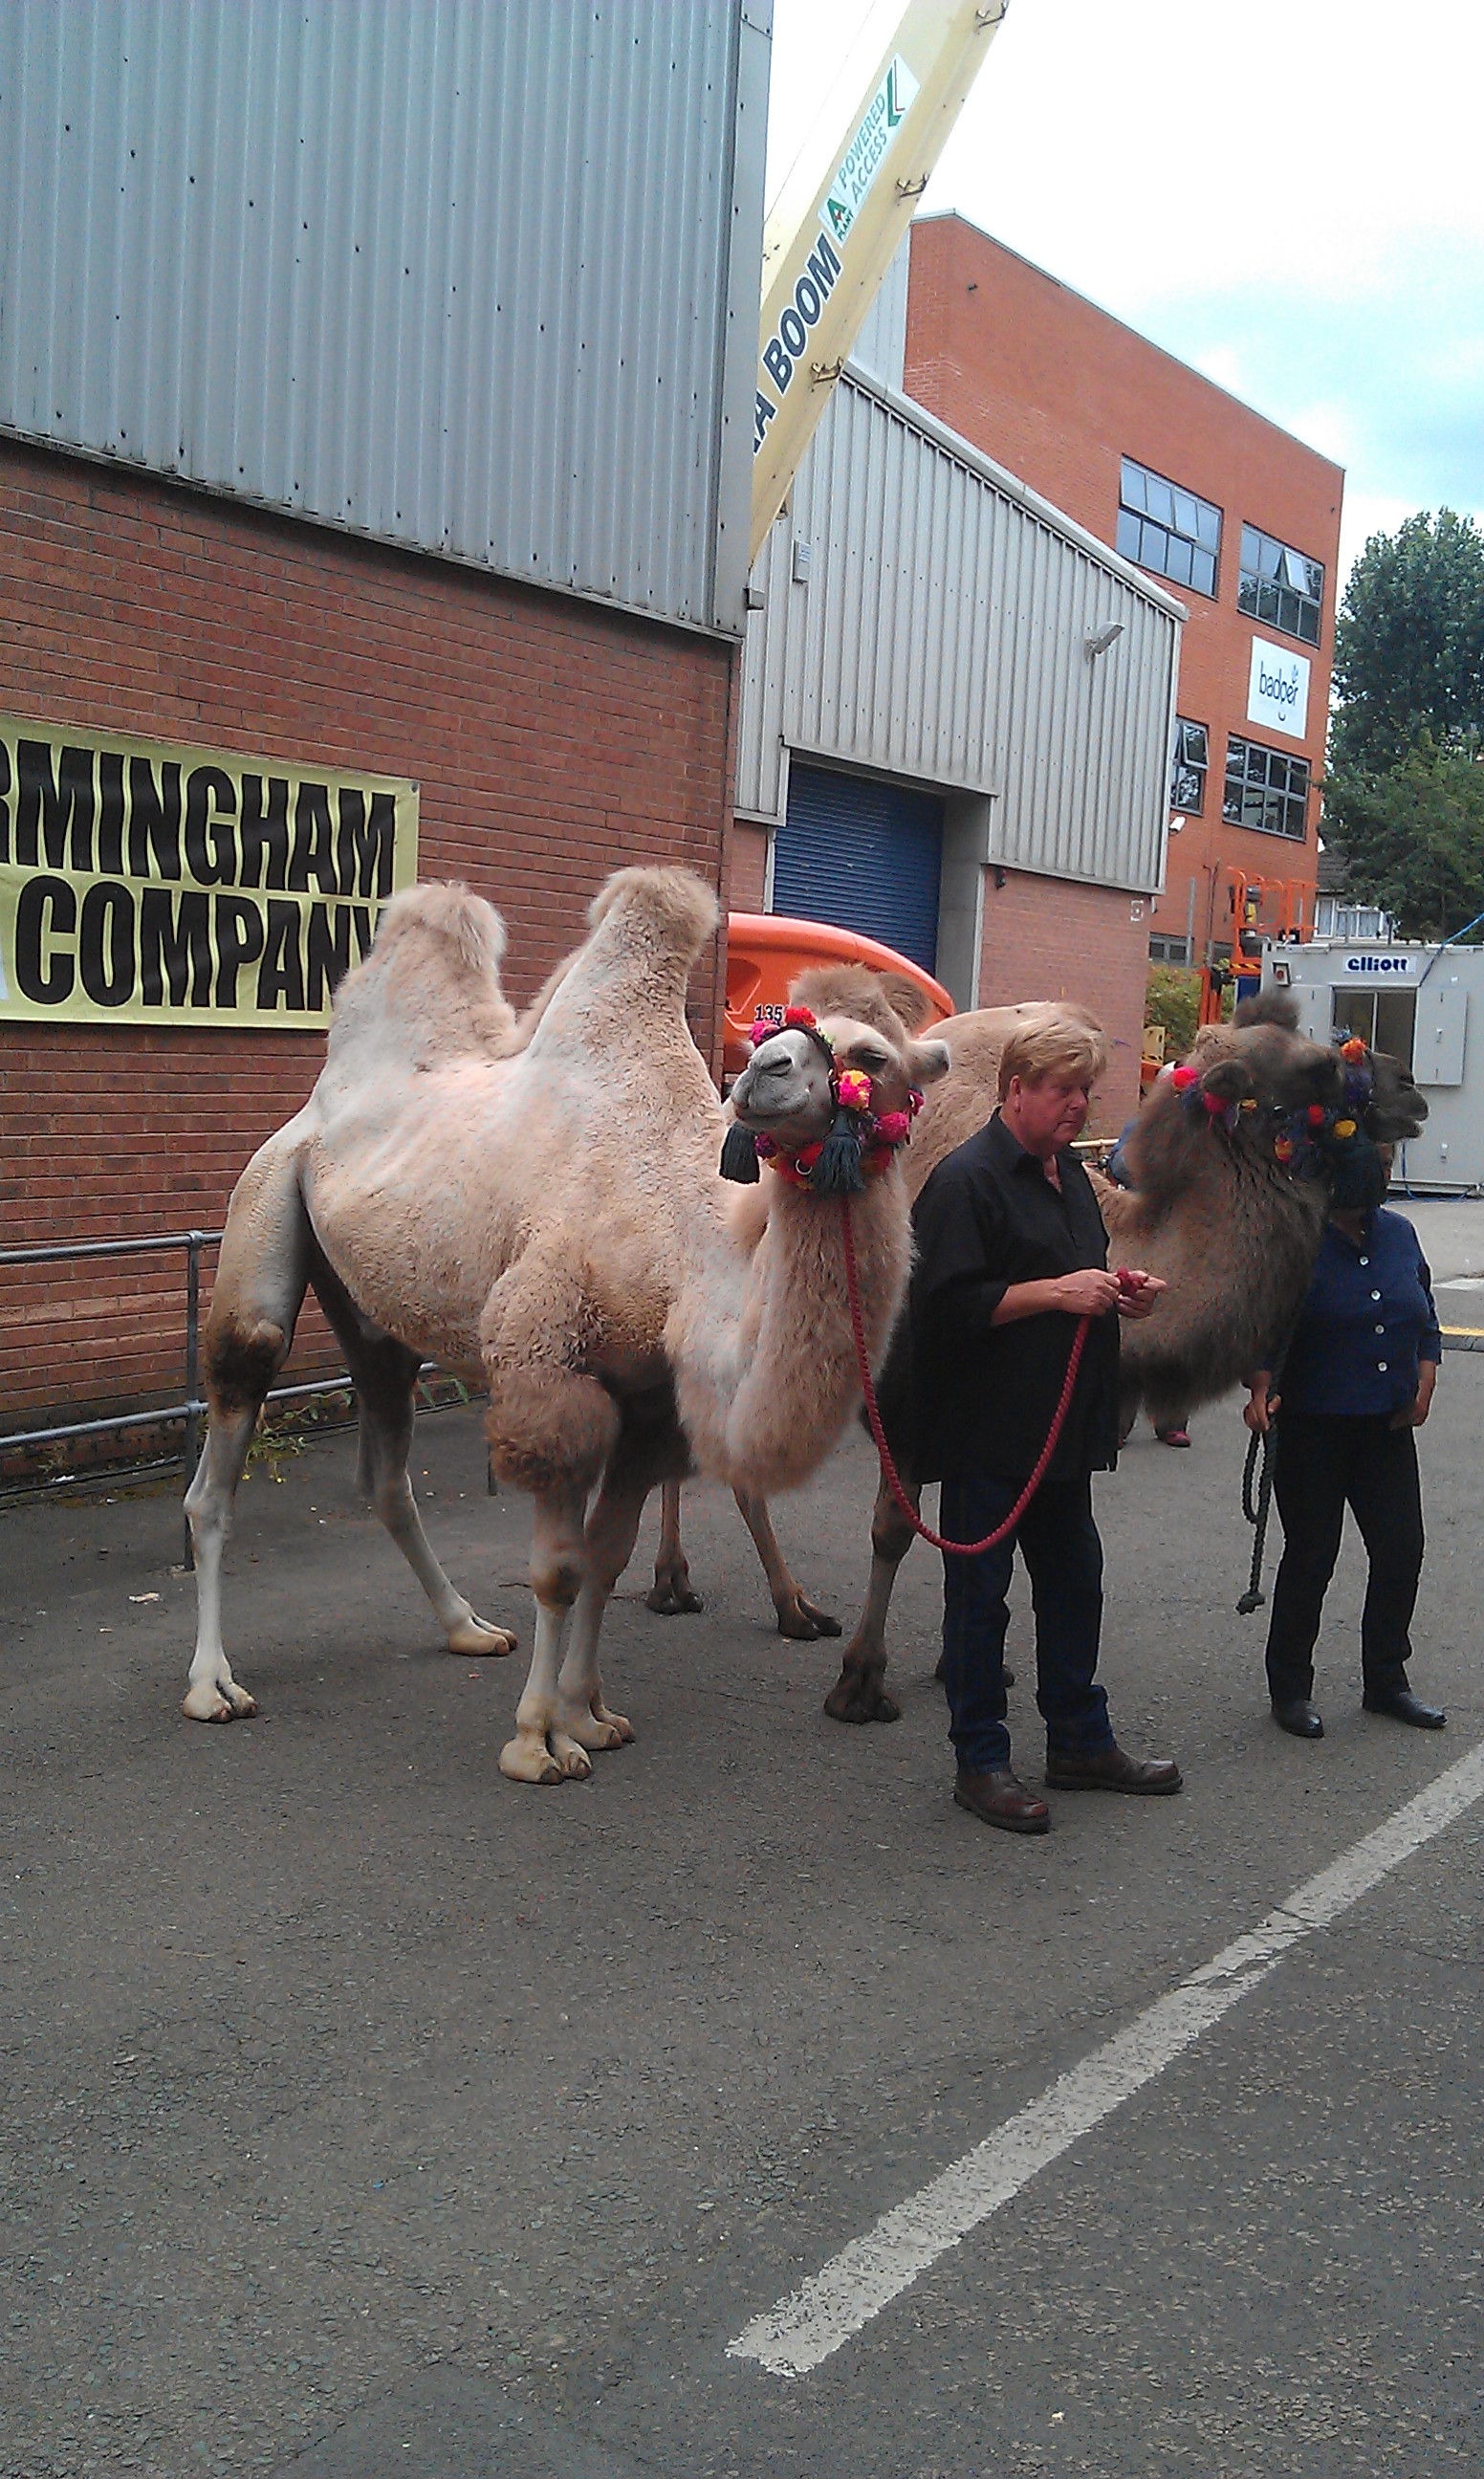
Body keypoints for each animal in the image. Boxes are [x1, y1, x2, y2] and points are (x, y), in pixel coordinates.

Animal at [183, 867, 951, 1783]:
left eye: (873, 1056)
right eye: (778, 1031)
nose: (761, 1073)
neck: (686, 1246)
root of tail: (319, 1104)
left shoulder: (650, 1401)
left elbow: (608, 1556)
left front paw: (592, 1714)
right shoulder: (551, 1371)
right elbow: (557, 1571)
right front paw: (539, 1741)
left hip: (373, 1312)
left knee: (386, 1470)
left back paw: (467, 1627)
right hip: (263, 1204)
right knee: (225, 1438)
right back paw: (212, 1686)